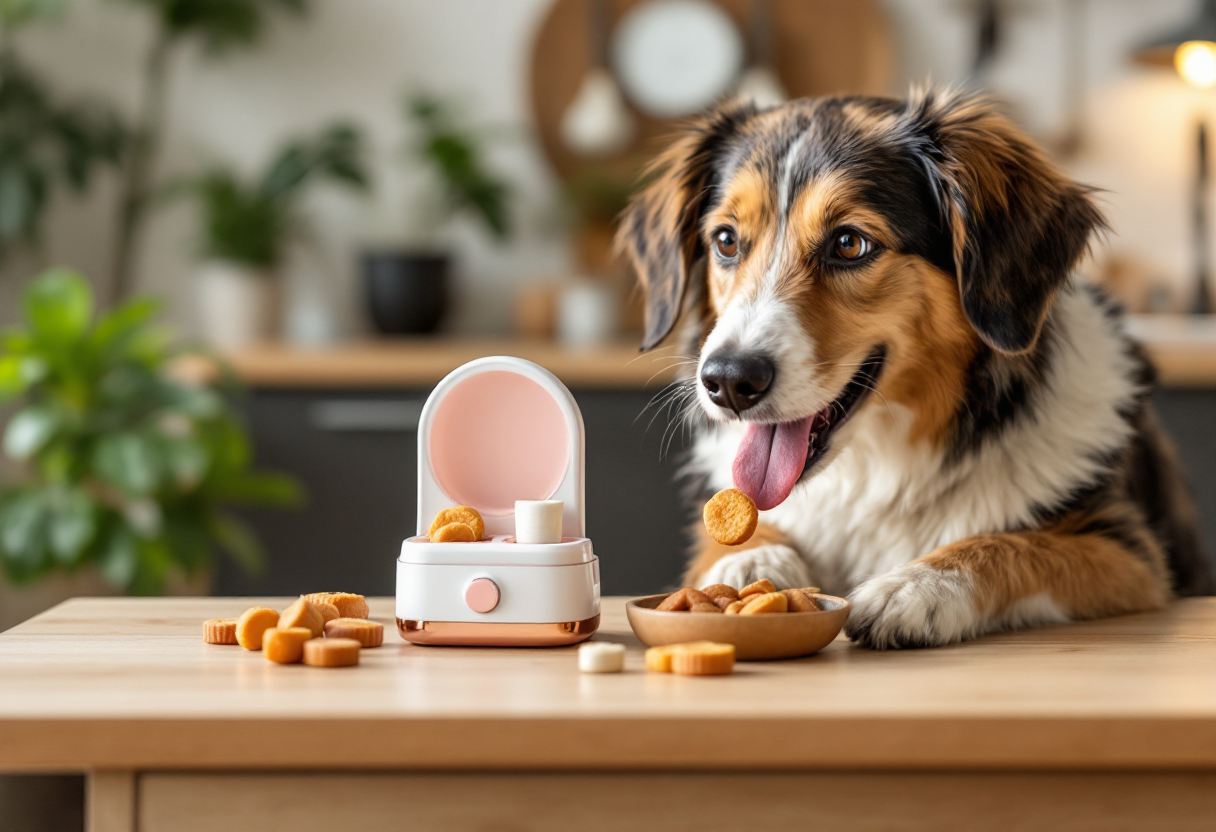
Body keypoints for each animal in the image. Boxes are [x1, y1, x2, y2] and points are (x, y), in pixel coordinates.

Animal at [622, 89, 1211, 651]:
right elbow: (742, 537)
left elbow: (1015, 544)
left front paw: (916, 587)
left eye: (849, 243)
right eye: (725, 240)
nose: (728, 382)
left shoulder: (1129, 552)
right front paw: (747, 564)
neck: (875, 469)